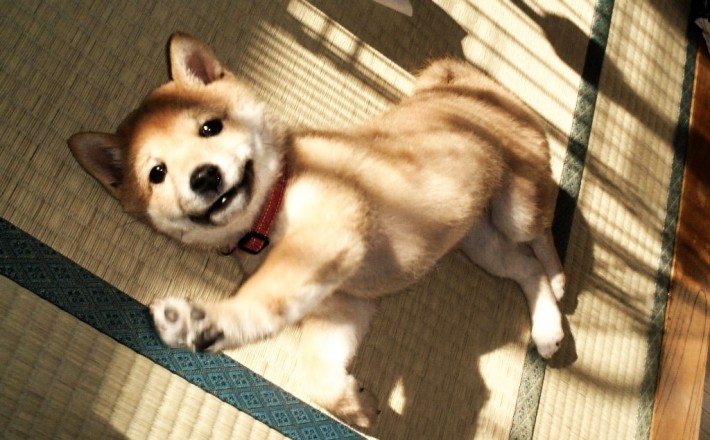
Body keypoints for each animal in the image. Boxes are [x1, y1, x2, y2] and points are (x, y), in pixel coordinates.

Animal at [67, 32, 568, 428]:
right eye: (157, 173)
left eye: (210, 127)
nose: (204, 177)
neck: (271, 209)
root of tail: (475, 86)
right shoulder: (341, 304)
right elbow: (317, 376)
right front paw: (357, 404)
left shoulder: (328, 233)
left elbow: (261, 300)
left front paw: (213, 322)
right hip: (479, 243)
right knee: (523, 267)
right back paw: (547, 328)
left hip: (516, 206)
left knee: (542, 236)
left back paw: (560, 277)